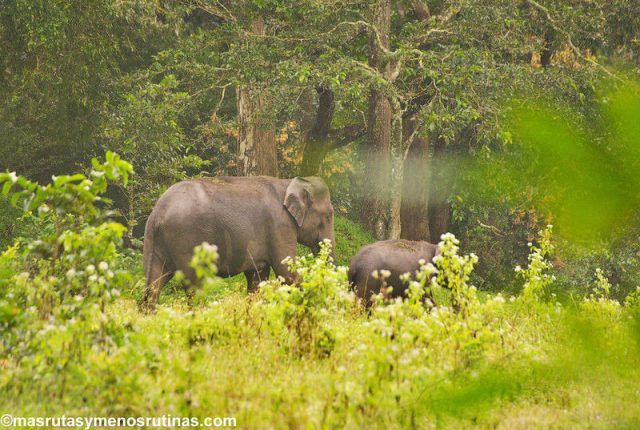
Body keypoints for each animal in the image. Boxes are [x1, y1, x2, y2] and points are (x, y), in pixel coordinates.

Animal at [140, 176, 335, 311]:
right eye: (328, 216)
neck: (287, 183)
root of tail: (158, 212)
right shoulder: (280, 225)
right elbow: (287, 272)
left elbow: (257, 278)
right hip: (186, 240)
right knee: (194, 287)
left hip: (153, 241)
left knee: (153, 284)